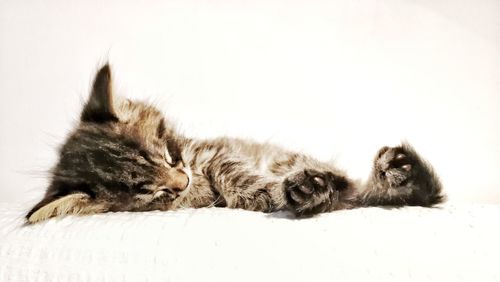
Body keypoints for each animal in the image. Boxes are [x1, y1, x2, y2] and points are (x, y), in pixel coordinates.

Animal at [25, 65, 444, 224]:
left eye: (168, 154)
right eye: (151, 192)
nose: (182, 182)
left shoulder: (215, 152)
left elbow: (233, 171)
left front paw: (265, 191)